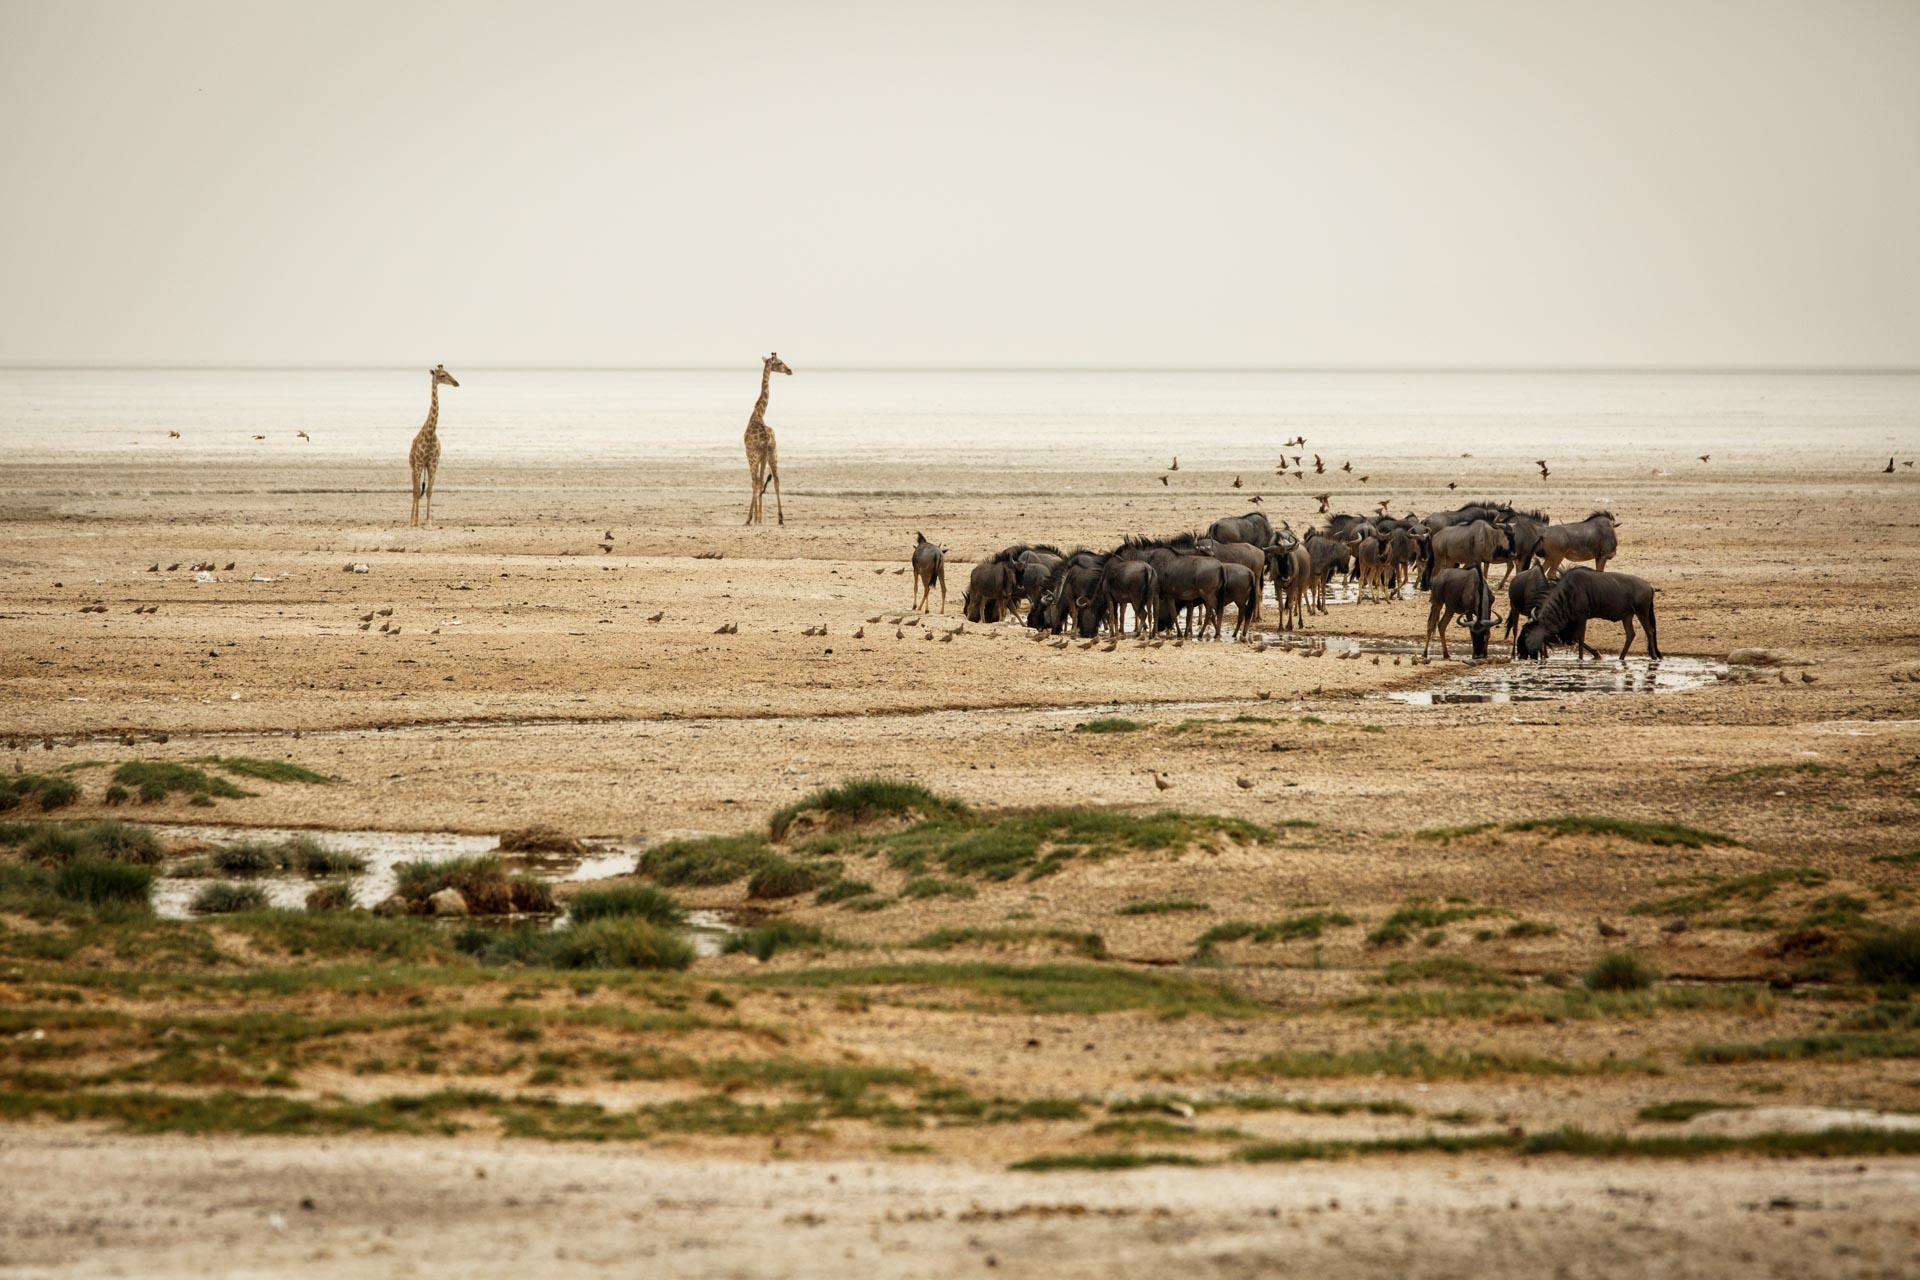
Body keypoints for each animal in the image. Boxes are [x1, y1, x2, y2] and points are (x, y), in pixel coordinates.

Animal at [408, 364, 460, 525]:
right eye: (442, 375)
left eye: (448, 372)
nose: (456, 383)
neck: (430, 433)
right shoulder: (419, 463)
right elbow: (417, 491)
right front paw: (416, 521)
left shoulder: (433, 463)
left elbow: (429, 491)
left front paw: (428, 521)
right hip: (413, 466)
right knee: (414, 489)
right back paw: (412, 520)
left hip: (424, 466)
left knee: (420, 489)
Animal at [741, 353, 787, 521]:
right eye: (780, 363)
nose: (790, 371)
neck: (757, 414)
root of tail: (767, 438)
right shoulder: (764, 456)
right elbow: (762, 481)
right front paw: (759, 518)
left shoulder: (752, 453)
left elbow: (756, 482)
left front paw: (756, 518)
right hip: (773, 453)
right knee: (776, 480)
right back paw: (780, 518)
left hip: (753, 456)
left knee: (754, 481)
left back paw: (748, 519)